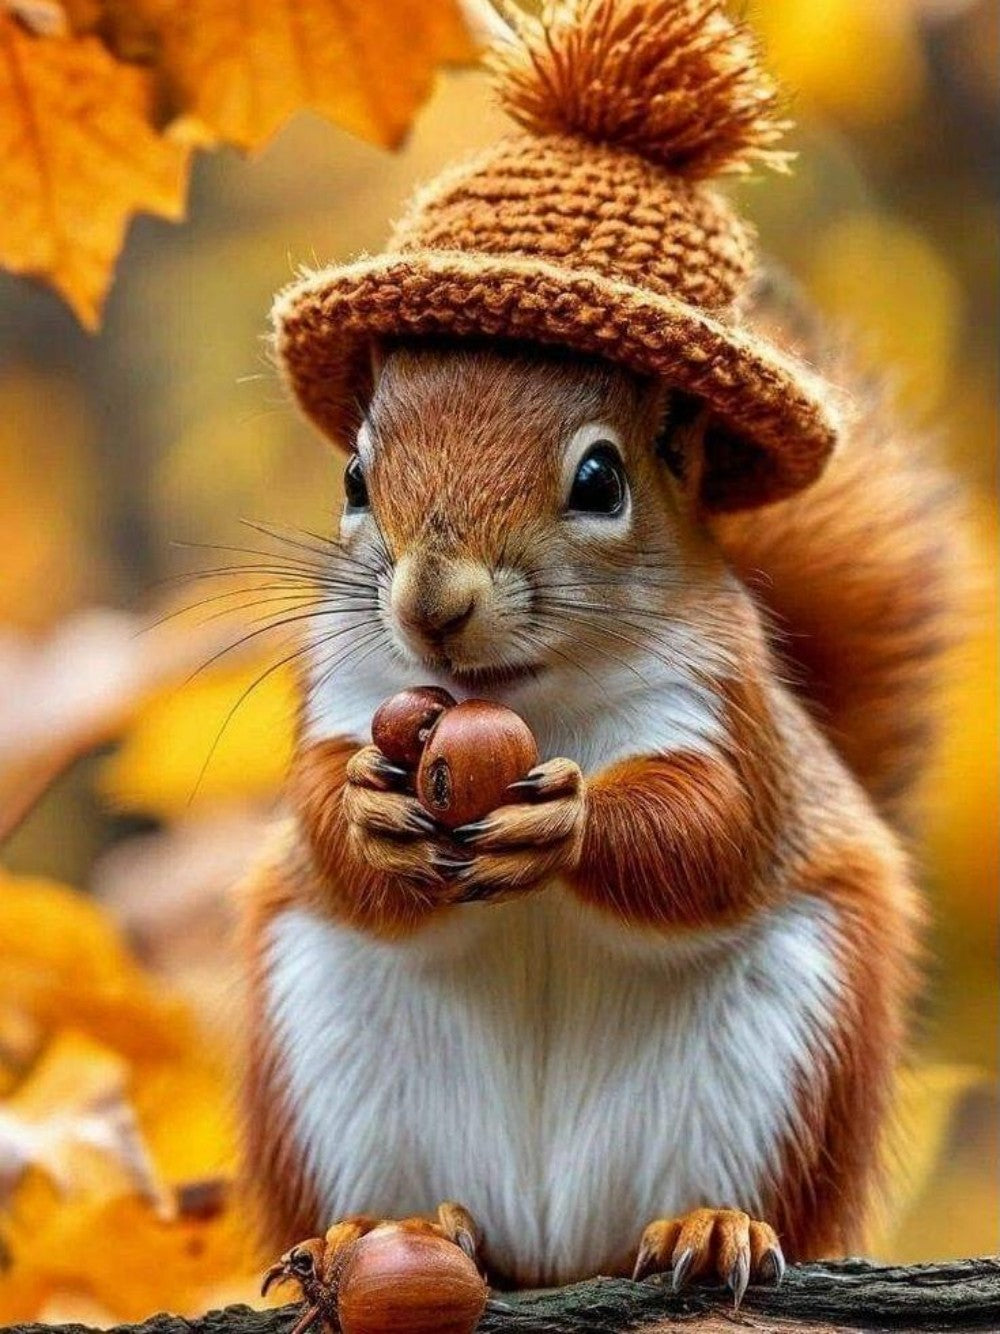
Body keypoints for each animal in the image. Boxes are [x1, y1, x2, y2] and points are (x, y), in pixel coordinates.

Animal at [240, 0, 964, 1304]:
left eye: (598, 480)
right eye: (356, 475)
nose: (431, 601)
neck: (528, 699)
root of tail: (549, 1235)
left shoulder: (728, 705)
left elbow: (712, 830)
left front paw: (564, 821)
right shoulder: (344, 685)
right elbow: (320, 813)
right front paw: (365, 807)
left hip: (783, 1043)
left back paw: (710, 1225)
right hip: (328, 1048)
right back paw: (372, 1231)